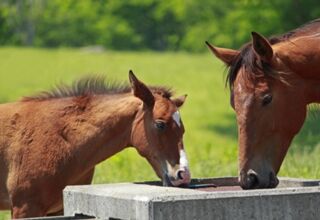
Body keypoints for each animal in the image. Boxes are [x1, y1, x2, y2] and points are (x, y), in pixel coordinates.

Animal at [0, 71, 190, 217]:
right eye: (160, 124)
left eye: (183, 129)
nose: (183, 174)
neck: (63, 140)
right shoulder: (25, 207)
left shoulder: (60, 209)